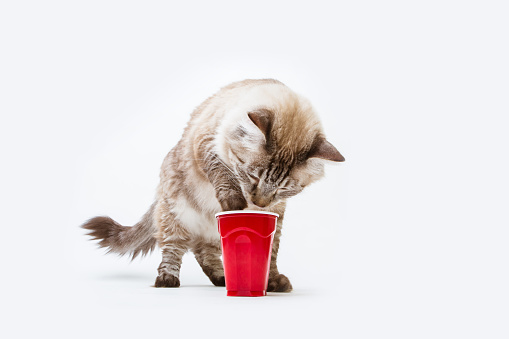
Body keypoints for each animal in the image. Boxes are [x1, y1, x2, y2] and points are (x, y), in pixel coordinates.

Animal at [82, 79, 346, 292]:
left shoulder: (275, 219)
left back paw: (222, 278)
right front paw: (234, 201)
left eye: (283, 189)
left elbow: (270, 256)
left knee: (203, 252)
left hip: (209, 232)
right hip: (175, 216)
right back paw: (168, 280)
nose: (258, 203)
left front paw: (271, 282)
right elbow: (222, 173)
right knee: (173, 249)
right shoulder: (207, 144)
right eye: (253, 177)